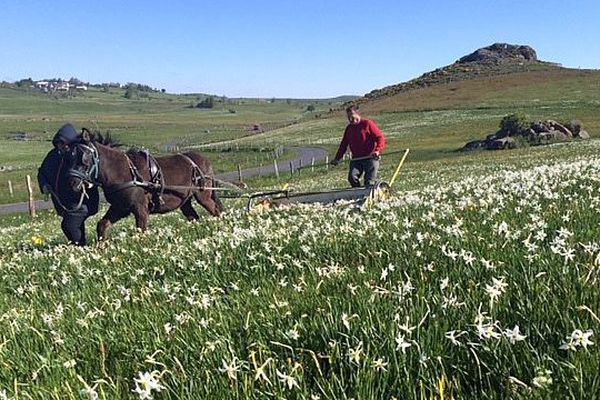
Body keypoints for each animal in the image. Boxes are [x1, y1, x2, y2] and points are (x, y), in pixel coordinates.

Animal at [67, 130, 223, 239]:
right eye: (69, 156)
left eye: (84, 158)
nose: (72, 183)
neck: (123, 172)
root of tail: (204, 160)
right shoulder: (120, 207)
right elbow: (102, 225)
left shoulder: (140, 209)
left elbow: (141, 232)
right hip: (185, 201)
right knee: (194, 217)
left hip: (203, 196)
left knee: (216, 211)